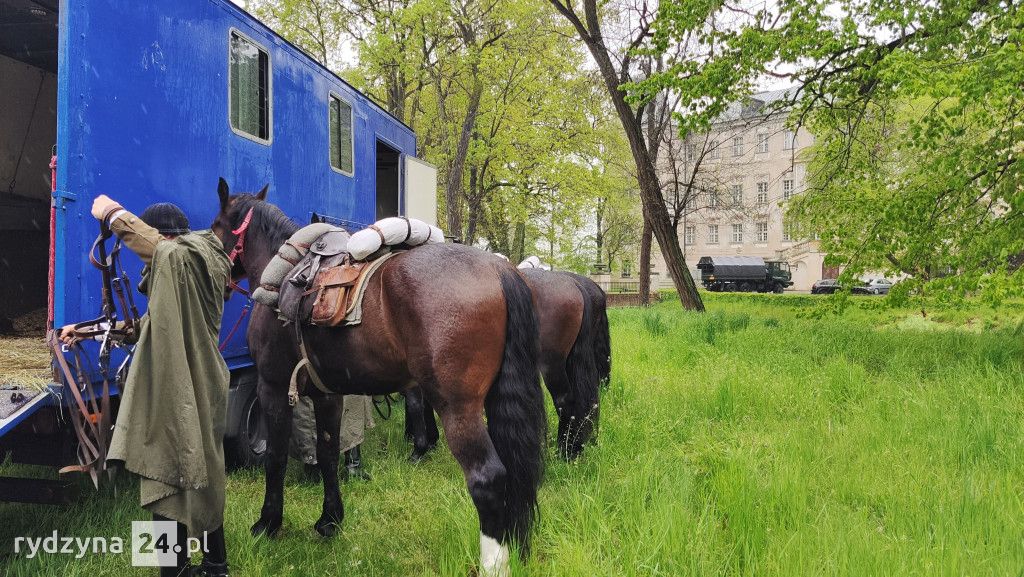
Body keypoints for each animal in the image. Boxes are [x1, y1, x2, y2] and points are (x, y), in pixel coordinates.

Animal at [210, 180, 546, 574]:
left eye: (216, 225)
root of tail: (498, 270)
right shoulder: (328, 394)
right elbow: (328, 453)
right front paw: (329, 520)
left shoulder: (273, 388)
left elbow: (275, 458)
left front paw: (268, 523)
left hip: (457, 408)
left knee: (487, 478)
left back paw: (494, 563)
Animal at [405, 268, 610, 461]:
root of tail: (574, 284)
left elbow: (416, 403)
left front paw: (419, 446)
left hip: (553, 364)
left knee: (565, 400)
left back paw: (565, 451)